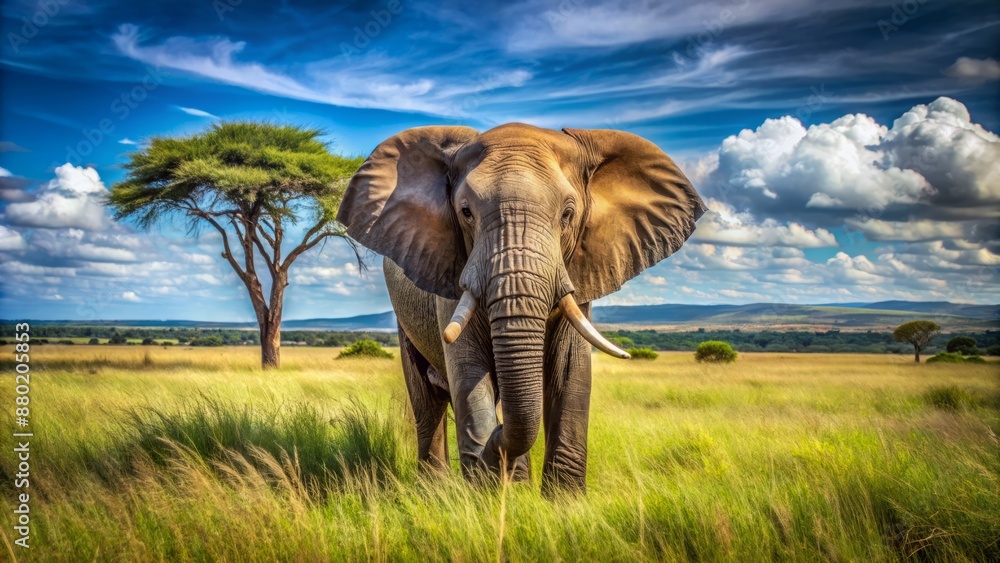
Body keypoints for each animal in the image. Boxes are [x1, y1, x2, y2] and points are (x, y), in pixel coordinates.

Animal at [337, 123, 705, 493]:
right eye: (466, 212)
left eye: (568, 215)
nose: (494, 439)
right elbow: (467, 367)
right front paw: (487, 491)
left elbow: (570, 368)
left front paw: (561, 499)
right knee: (428, 401)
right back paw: (436, 488)